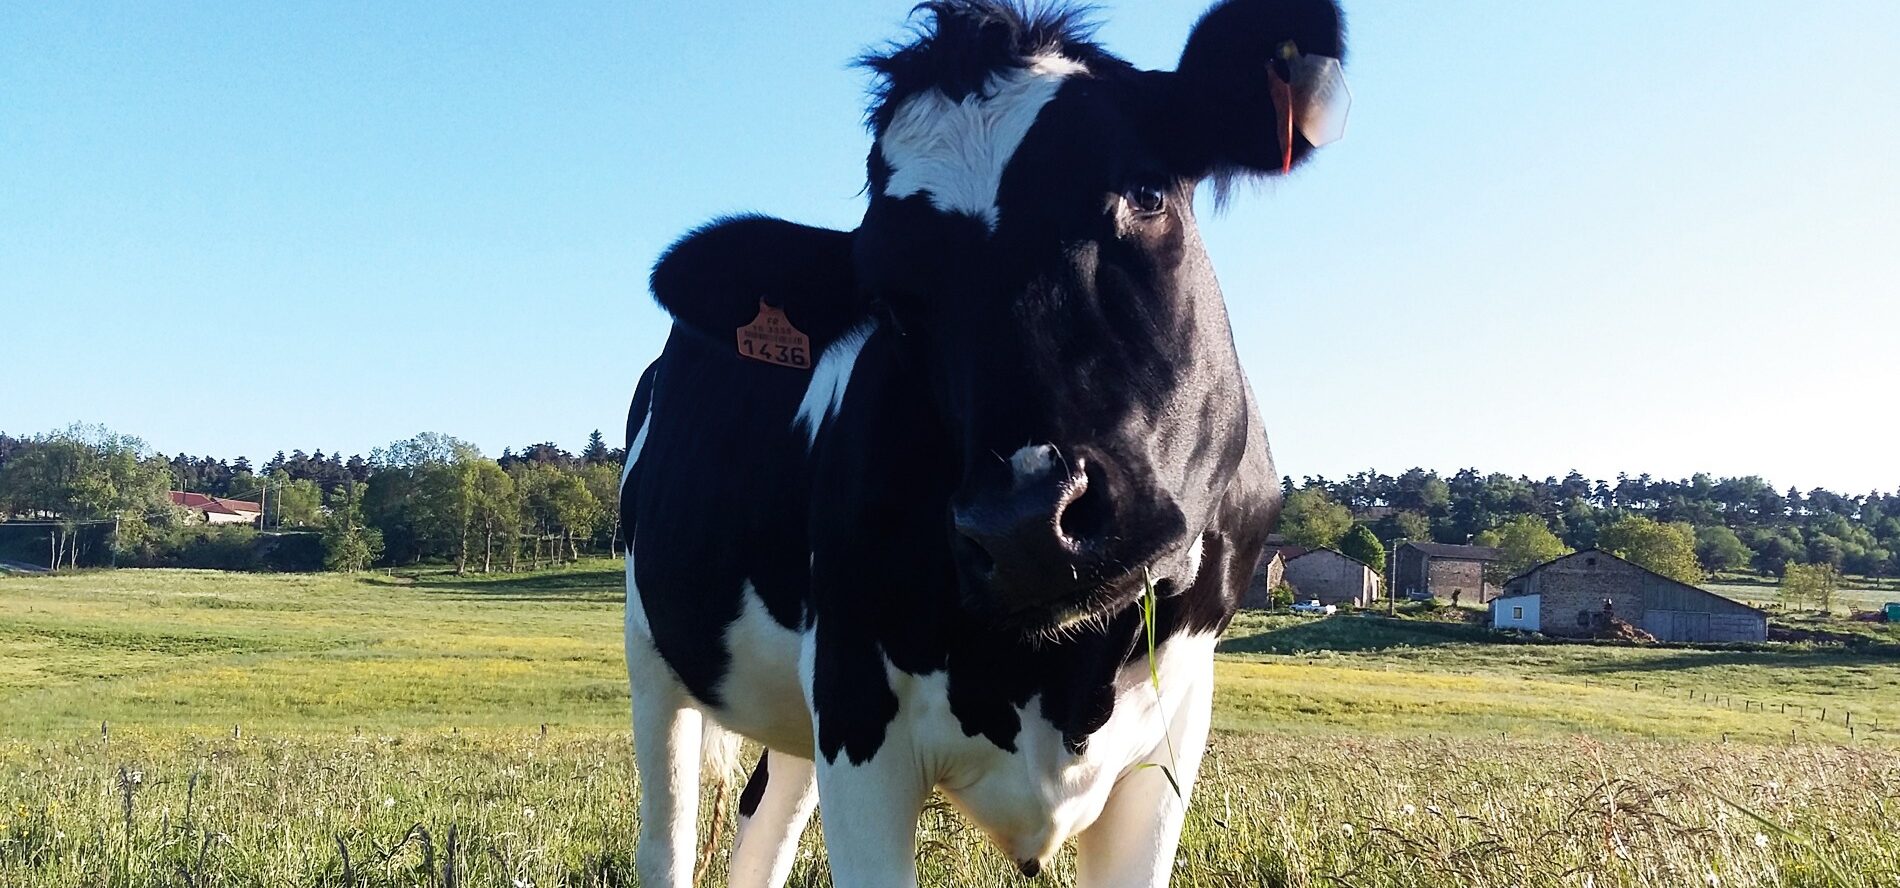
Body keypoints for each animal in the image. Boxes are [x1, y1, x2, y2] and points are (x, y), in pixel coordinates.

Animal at [615, 1, 1345, 888]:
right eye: (888, 296)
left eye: (1145, 193)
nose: (1025, 523)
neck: (1061, 673)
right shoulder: (856, 707)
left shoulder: (1174, 732)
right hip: (655, 654)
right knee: (668, 838)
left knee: (765, 830)